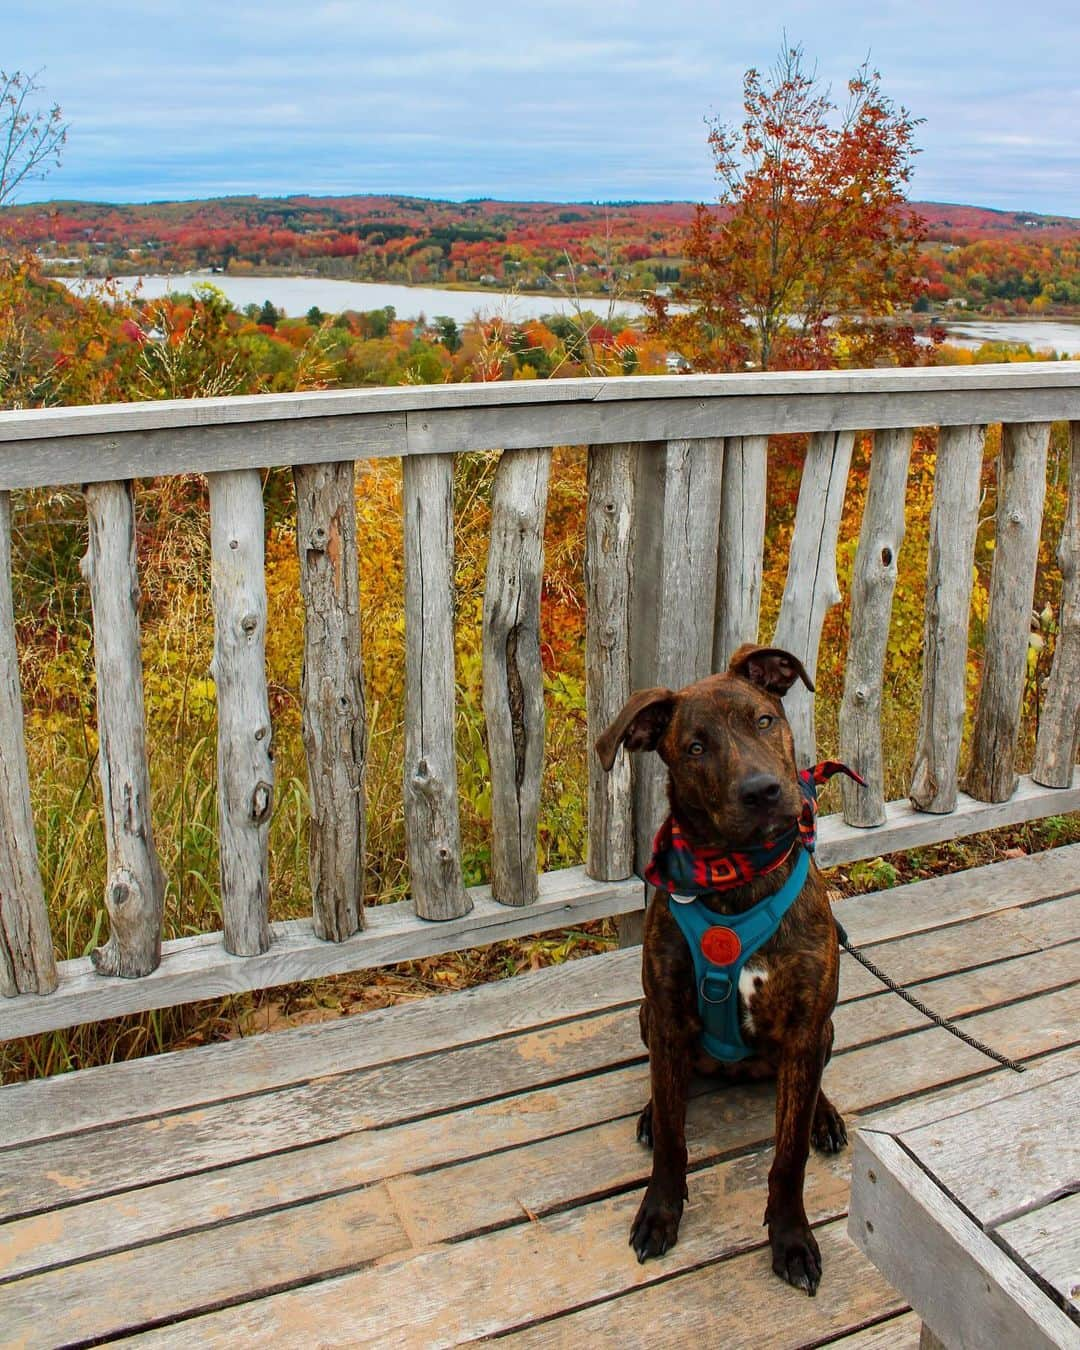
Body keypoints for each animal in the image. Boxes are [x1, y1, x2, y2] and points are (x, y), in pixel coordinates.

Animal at [591, 642, 853, 1296]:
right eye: (694, 748)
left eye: (763, 720)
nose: (762, 791)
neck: (736, 878)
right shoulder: (665, 1013)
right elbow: (674, 1142)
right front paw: (660, 1212)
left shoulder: (806, 1025)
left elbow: (788, 1158)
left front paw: (791, 1239)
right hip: (646, 1018)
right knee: (668, 1087)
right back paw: (652, 1112)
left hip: (825, 1031)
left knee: (810, 1085)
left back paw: (824, 1116)